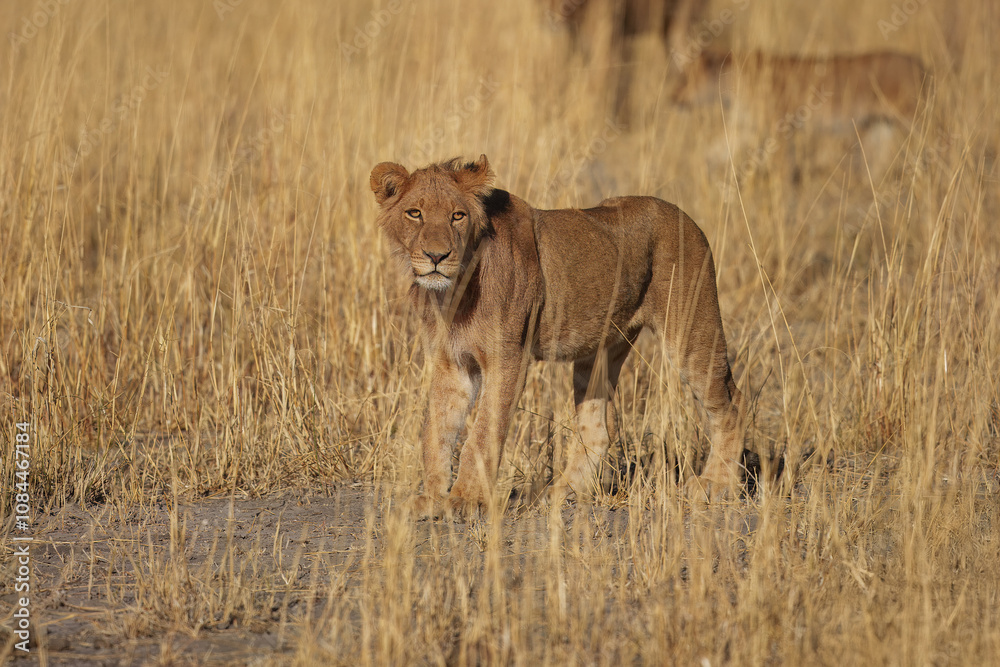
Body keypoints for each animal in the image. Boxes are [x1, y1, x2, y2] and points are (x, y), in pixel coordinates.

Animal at [371, 154, 747, 518]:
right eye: (415, 213)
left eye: (457, 216)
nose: (437, 256)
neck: (455, 290)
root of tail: (685, 217)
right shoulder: (451, 363)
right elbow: (436, 431)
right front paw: (432, 499)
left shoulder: (508, 358)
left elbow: (482, 433)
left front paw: (465, 501)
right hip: (599, 352)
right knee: (599, 430)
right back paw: (556, 493)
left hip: (692, 331)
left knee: (731, 403)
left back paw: (715, 484)